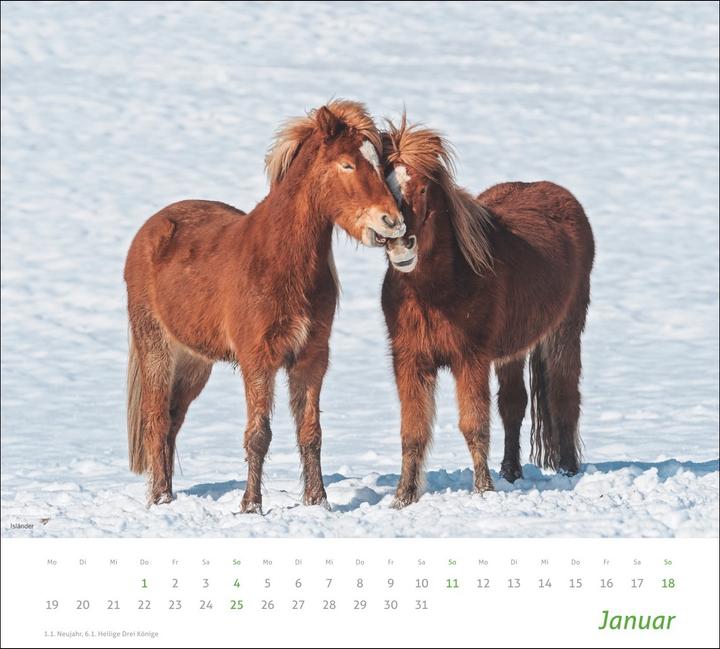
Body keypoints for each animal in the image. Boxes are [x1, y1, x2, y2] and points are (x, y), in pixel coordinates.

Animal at [124, 100, 405, 512]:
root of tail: (150, 228)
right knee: (157, 419)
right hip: (157, 349)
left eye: (380, 165)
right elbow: (259, 434)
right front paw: (251, 506)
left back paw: (169, 495)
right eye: (347, 165)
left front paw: (318, 502)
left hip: (194, 363)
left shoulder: (311, 358)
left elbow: (310, 432)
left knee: (173, 421)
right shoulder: (258, 360)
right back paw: (160, 499)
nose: (392, 222)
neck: (279, 261)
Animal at [380, 117, 595, 507]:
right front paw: (403, 497)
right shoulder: (410, 360)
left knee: (564, 396)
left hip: (565, 332)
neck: (435, 291)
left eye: (423, 188)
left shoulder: (470, 359)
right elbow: (413, 431)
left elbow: (474, 425)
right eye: (382, 185)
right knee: (513, 404)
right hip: (513, 350)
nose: (400, 243)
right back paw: (510, 472)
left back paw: (568, 470)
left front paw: (483, 490)